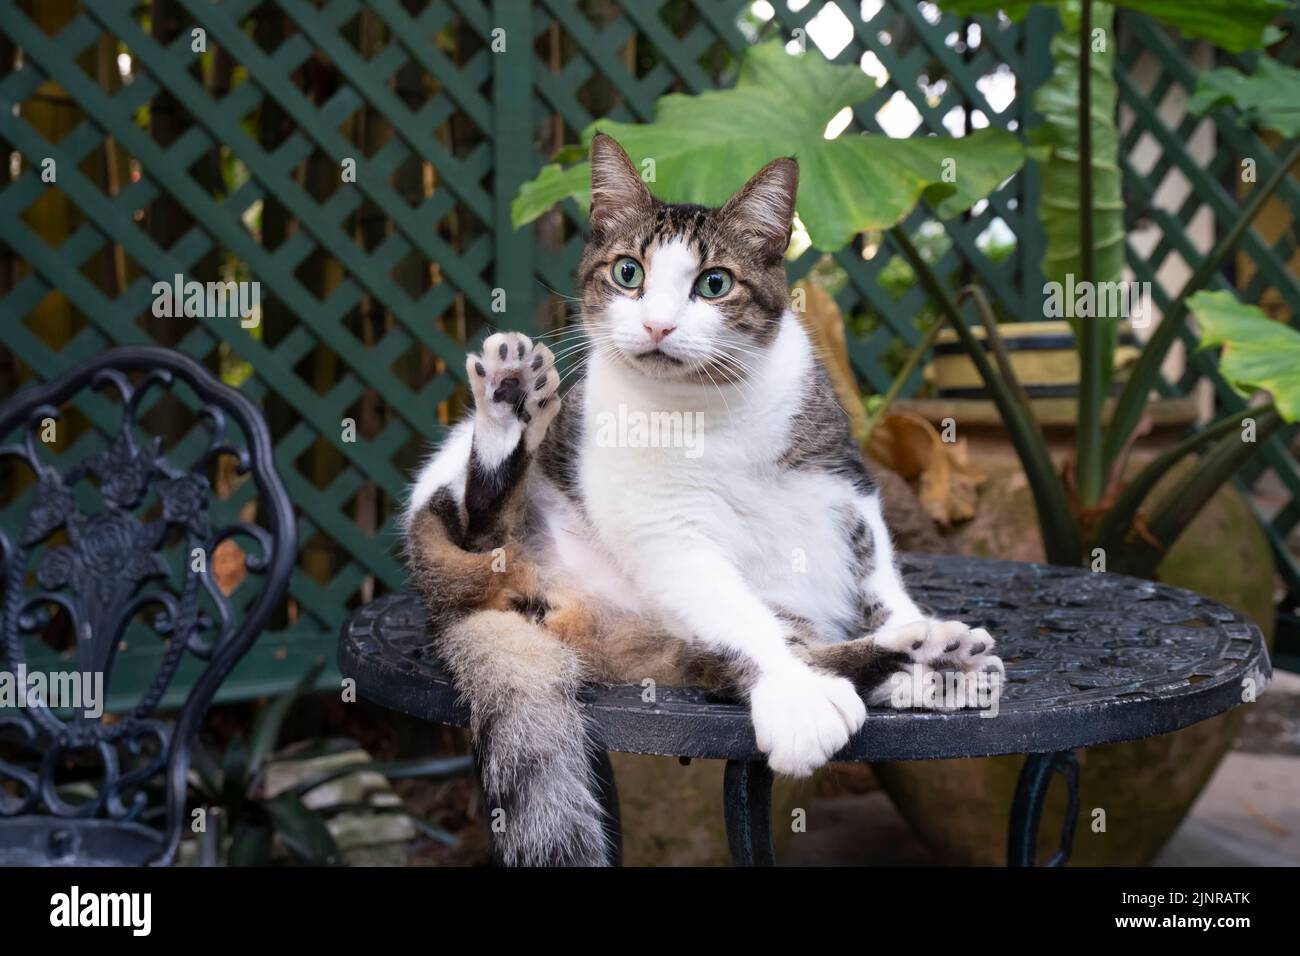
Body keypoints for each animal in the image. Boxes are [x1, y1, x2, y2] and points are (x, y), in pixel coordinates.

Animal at [400, 132, 998, 868]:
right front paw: (797, 700)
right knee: (476, 526)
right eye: (628, 273)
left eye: (714, 283)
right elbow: (742, 619)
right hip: (465, 517)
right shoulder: (670, 535)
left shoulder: (846, 483)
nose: (657, 325)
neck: (710, 408)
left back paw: (930, 653)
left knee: (722, 658)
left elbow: (877, 575)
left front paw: (914, 638)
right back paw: (508, 406)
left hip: (653, 642)